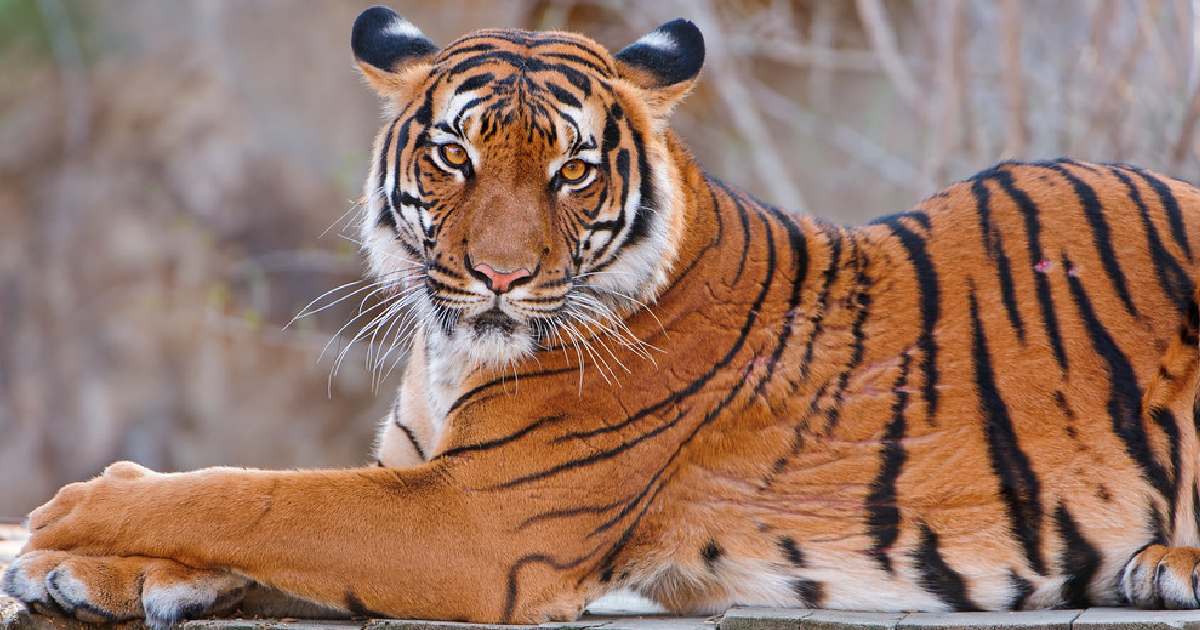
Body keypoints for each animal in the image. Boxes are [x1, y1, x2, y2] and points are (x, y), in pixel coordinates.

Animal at [7, 7, 1200, 628]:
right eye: (454, 157)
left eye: (574, 171)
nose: (496, 276)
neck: (451, 353)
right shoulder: (418, 475)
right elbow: (258, 517)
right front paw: (99, 567)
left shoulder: (477, 523)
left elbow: (260, 497)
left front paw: (73, 512)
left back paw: (1168, 562)